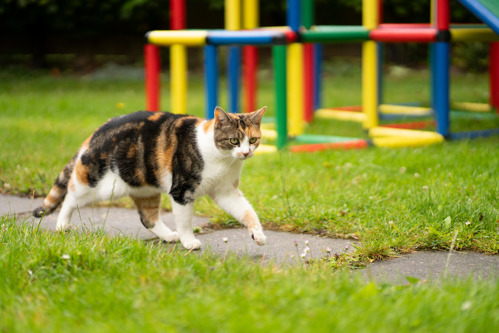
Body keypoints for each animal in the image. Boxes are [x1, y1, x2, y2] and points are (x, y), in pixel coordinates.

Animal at [33, 106, 268, 249]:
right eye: (234, 140)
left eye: (253, 140)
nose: (246, 153)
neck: (223, 160)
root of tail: (98, 131)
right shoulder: (181, 191)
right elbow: (185, 221)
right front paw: (189, 241)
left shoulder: (225, 190)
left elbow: (247, 211)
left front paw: (258, 234)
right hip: (97, 186)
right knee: (70, 196)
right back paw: (62, 224)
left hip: (144, 187)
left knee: (147, 218)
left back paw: (168, 236)